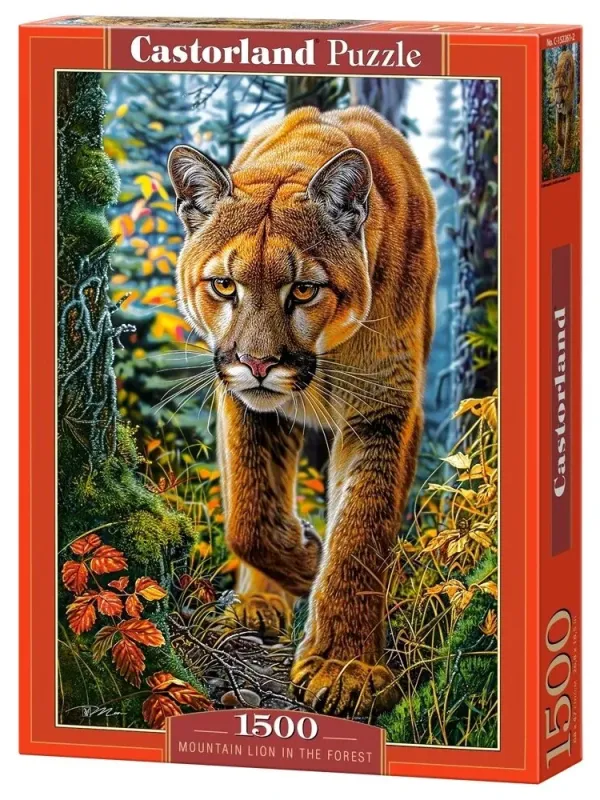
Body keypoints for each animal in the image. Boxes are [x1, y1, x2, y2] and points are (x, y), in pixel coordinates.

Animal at [168, 106, 438, 717]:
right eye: (225, 285)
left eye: (304, 290)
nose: (258, 363)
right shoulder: (243, 404)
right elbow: (249, 513)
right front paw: (306, 559)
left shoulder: (385, 408)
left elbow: (362, 532)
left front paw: (345, 668)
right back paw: (257, 604)